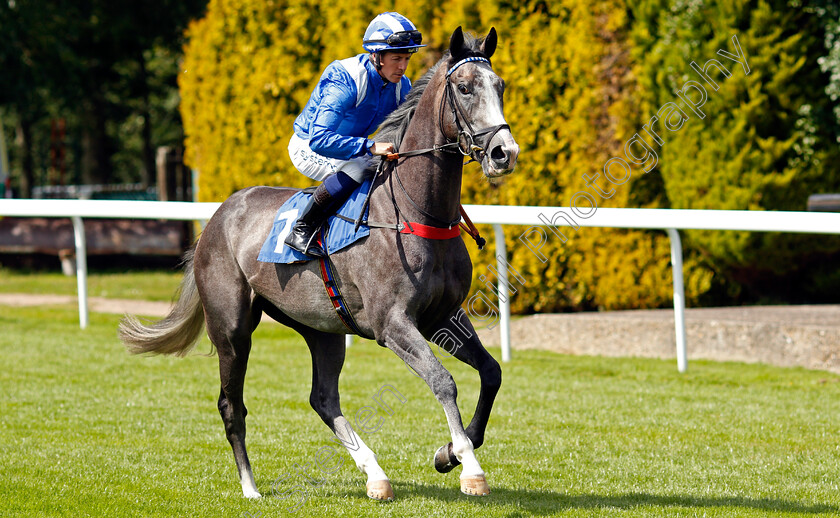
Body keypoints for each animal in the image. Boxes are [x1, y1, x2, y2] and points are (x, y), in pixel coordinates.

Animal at [120, 28, 520, 504]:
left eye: (499, 85)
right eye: (464, 88)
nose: (504, 153)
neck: (416, 212)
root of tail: (219, 216)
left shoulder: (444, 316)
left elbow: (492, 373)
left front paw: (449, 454)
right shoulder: (393, 324)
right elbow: (444, 381)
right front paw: (469, 467)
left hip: (322, 328)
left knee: (323, 398)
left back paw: (375, 475)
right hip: (232, 328)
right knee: (231, 404)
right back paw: (250, 487)